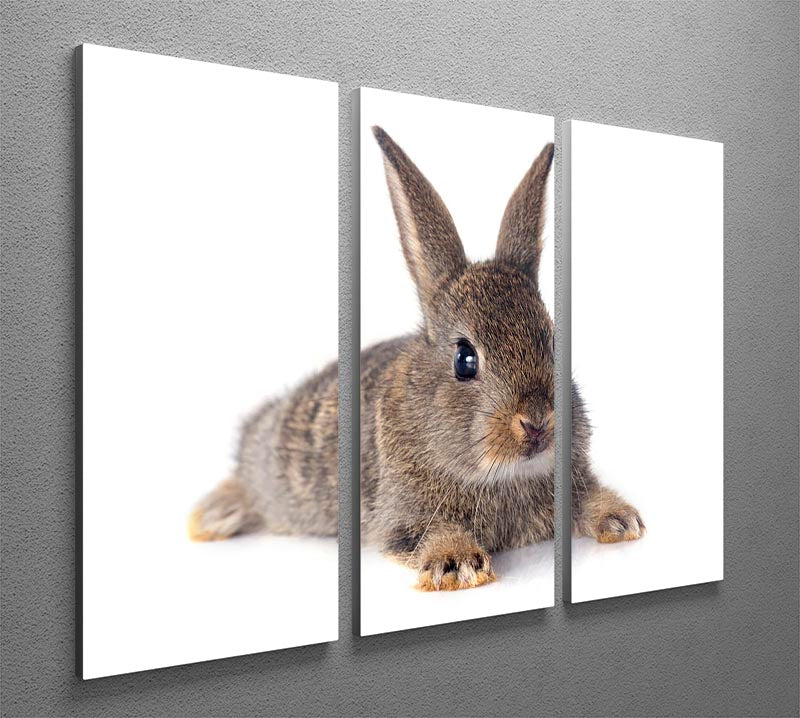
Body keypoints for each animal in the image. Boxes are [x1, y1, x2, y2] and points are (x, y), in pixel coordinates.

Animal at [188, 126, 644, 592]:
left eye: (553, 342)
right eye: (465, 359)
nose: (537, 422)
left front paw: (620, 520)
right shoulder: (402, 515)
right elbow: (428, 534)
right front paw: (458, 563)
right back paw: (211, 517)